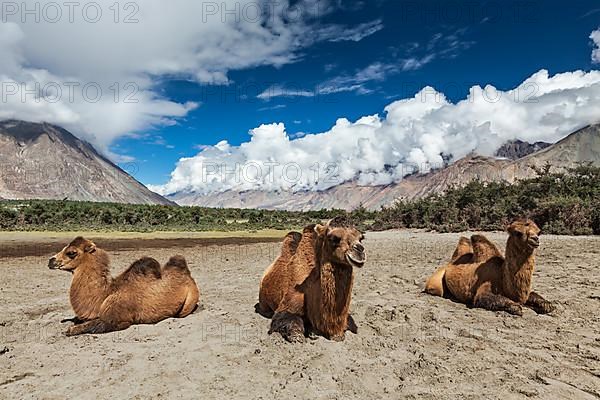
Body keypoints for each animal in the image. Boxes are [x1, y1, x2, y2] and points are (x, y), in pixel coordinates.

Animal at [49, 236, 199, 336]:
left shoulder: (117, 320)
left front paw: (70, 329)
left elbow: (88, 327)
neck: (104, 295)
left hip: (189, 301)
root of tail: (187, 275)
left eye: (71, 252)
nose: (51, 261)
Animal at [424, 219, 556, 316]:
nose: (535, 239)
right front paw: (516, 308)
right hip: (435, 283)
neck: (502, 276)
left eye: (539, 232)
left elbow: (545, 303)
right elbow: (505, 302)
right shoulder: (484, 289)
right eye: (518, 233)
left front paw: (546, 305)